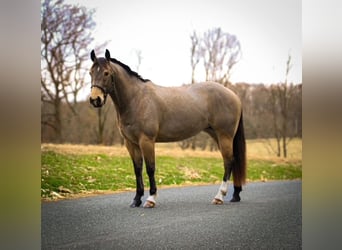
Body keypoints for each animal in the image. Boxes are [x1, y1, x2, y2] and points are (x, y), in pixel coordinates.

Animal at [89, 49, 247, 208]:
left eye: (106, 73)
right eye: (91, 72)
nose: (95, 99)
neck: (137, 99)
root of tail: (234, 95)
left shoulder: (146, 141)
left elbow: (150, 168)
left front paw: (151, 199)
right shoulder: (131, 143)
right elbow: (137, 169)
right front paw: (136, 199)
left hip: (224, 135)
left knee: (228, 162)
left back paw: (219, 196)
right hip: (217, 135)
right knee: (233, 161)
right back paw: (235, 195)